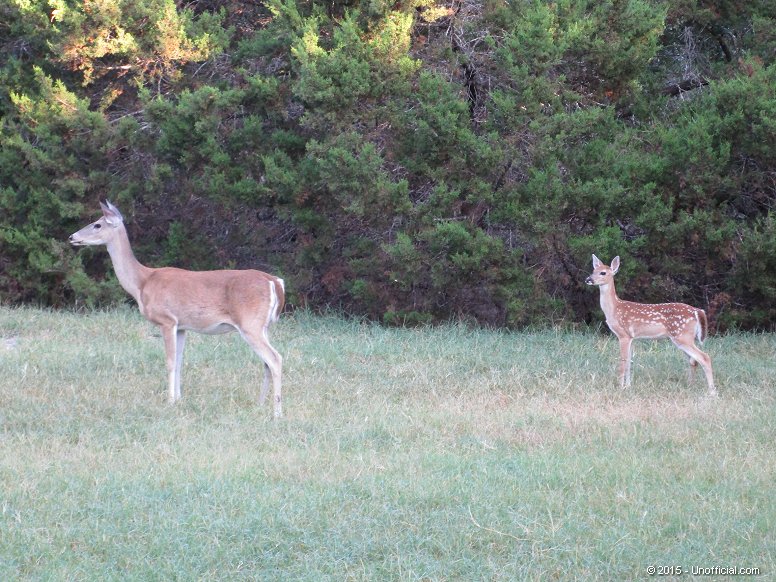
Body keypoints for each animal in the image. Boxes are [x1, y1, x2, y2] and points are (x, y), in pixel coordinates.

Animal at [69, 203, 284, 418]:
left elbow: (170, 362)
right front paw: (179, 399)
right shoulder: (181, 326)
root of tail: (274, 281)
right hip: (262, 326)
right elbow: (180, 361)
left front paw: (170, 401)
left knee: (275, 358)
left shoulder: (167, 320)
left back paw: (277, 412)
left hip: (250, 324)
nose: (72, 237)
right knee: (267, 362)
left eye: (97, 224)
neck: (142, 283)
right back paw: (259, 404)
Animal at [584, 256, 716, 396]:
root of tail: (697, 311)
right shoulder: (632, 338)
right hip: (684, 338)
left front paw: (620, 387)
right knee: (693, 360)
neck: (614, 308)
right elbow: (629, 362)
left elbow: (623, 361)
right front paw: (628, 386)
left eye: (603, 272)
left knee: (704, 357)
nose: (588, 279)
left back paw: (712, 391)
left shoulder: (623, 335)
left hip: (682, 336)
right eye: (593, 270)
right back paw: (691, 385)